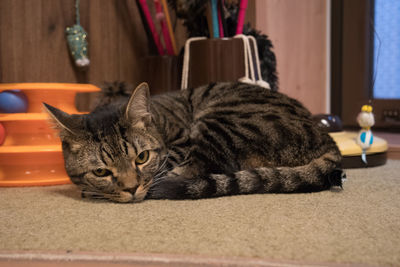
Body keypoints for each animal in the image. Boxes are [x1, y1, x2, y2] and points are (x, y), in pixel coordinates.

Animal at [43, 81, 344, 203]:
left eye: (142, 157)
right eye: (100, 171)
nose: (130, 188)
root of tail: (327, 139)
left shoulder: (181, 142)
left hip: (222, 119)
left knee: (198, 169)